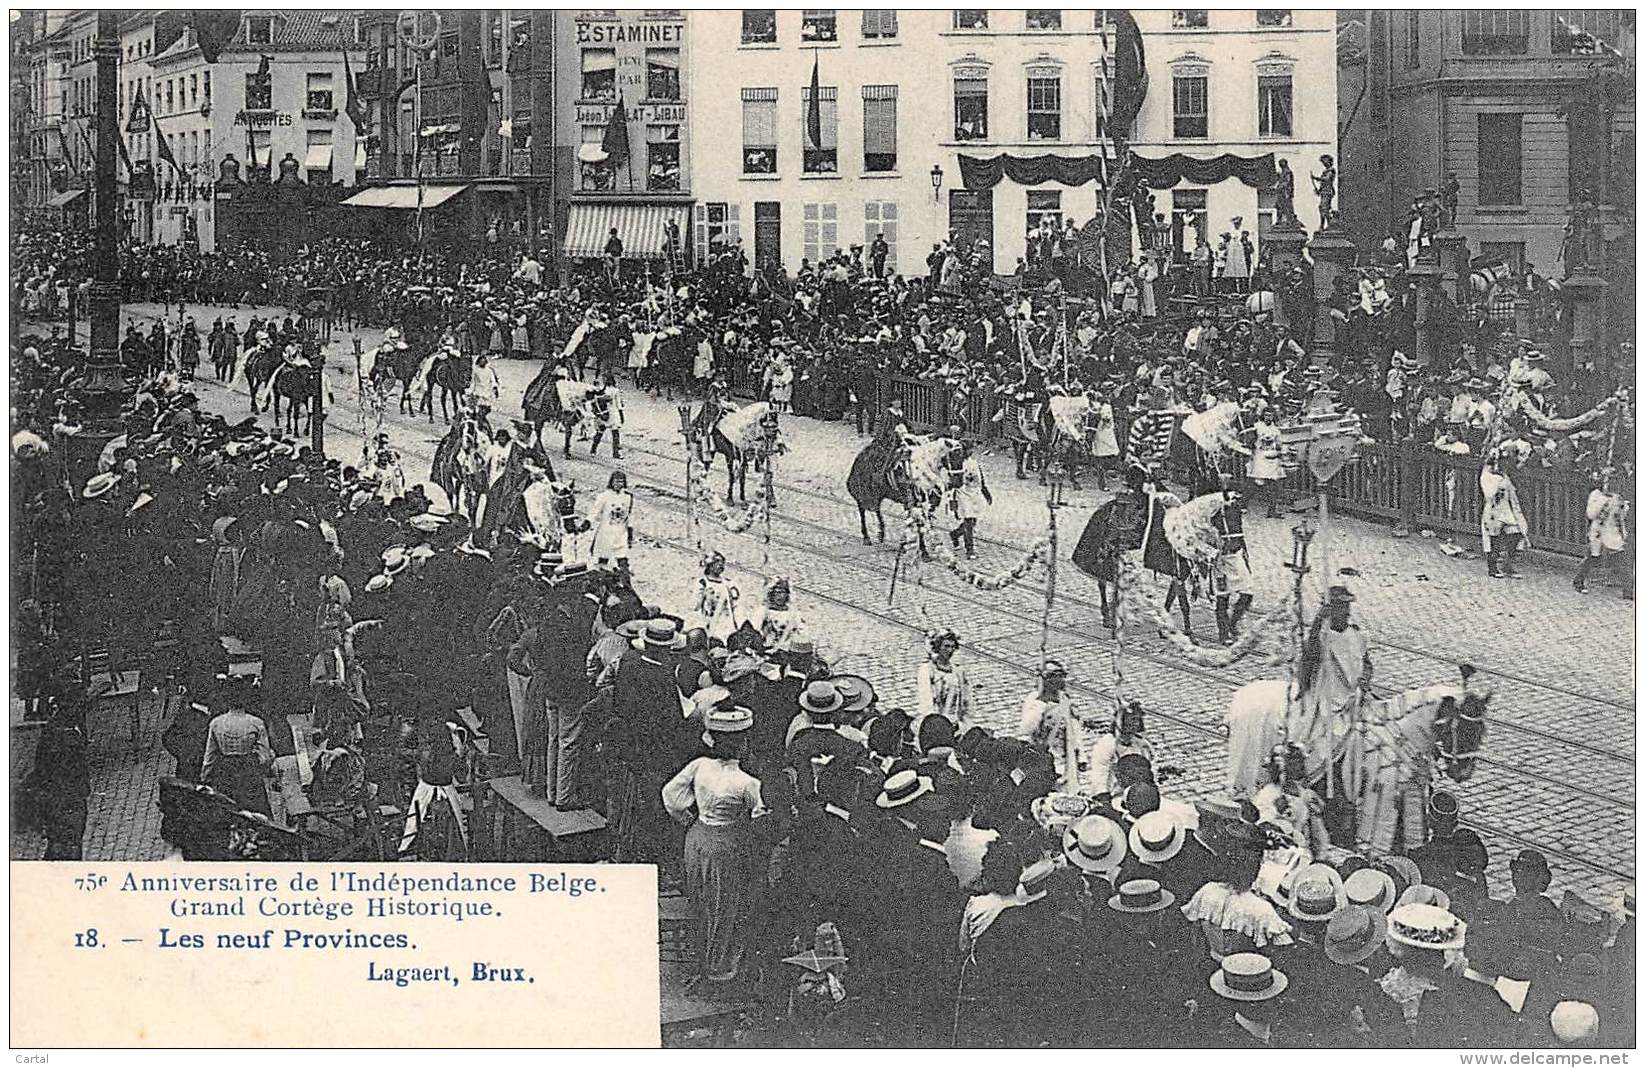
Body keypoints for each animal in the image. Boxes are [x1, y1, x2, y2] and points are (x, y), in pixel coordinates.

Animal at [1230, 674, 1487, 855]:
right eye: (1464, 729)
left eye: (1481, 729)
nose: (1463, 772)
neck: (1403, 731)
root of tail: (1242, 694)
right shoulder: (1384, 797)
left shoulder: (1408, 795)